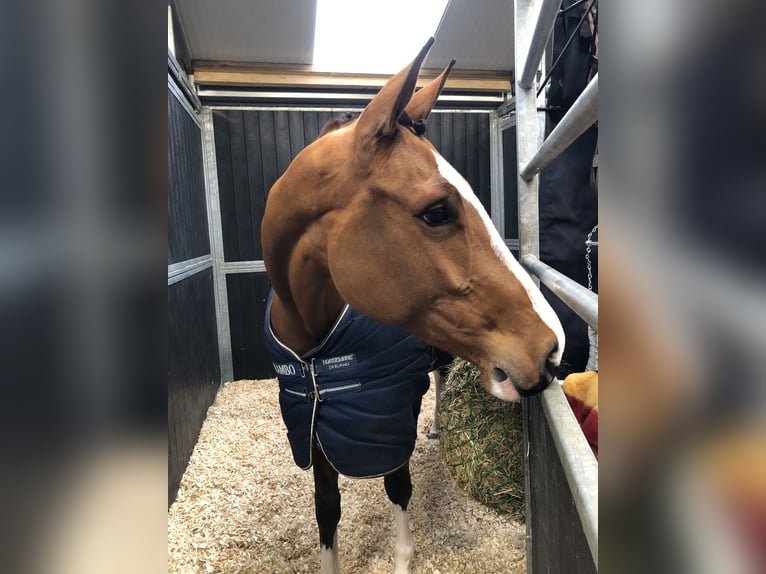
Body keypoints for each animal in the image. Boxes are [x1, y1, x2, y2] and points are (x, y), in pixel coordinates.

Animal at [260, 37, 568, 574]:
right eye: (436, 212)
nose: (551, 349)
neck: (315, 347)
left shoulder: (391, 417)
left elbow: (397, 488)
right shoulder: (315, 429)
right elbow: (326, 511)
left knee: (441, 378)